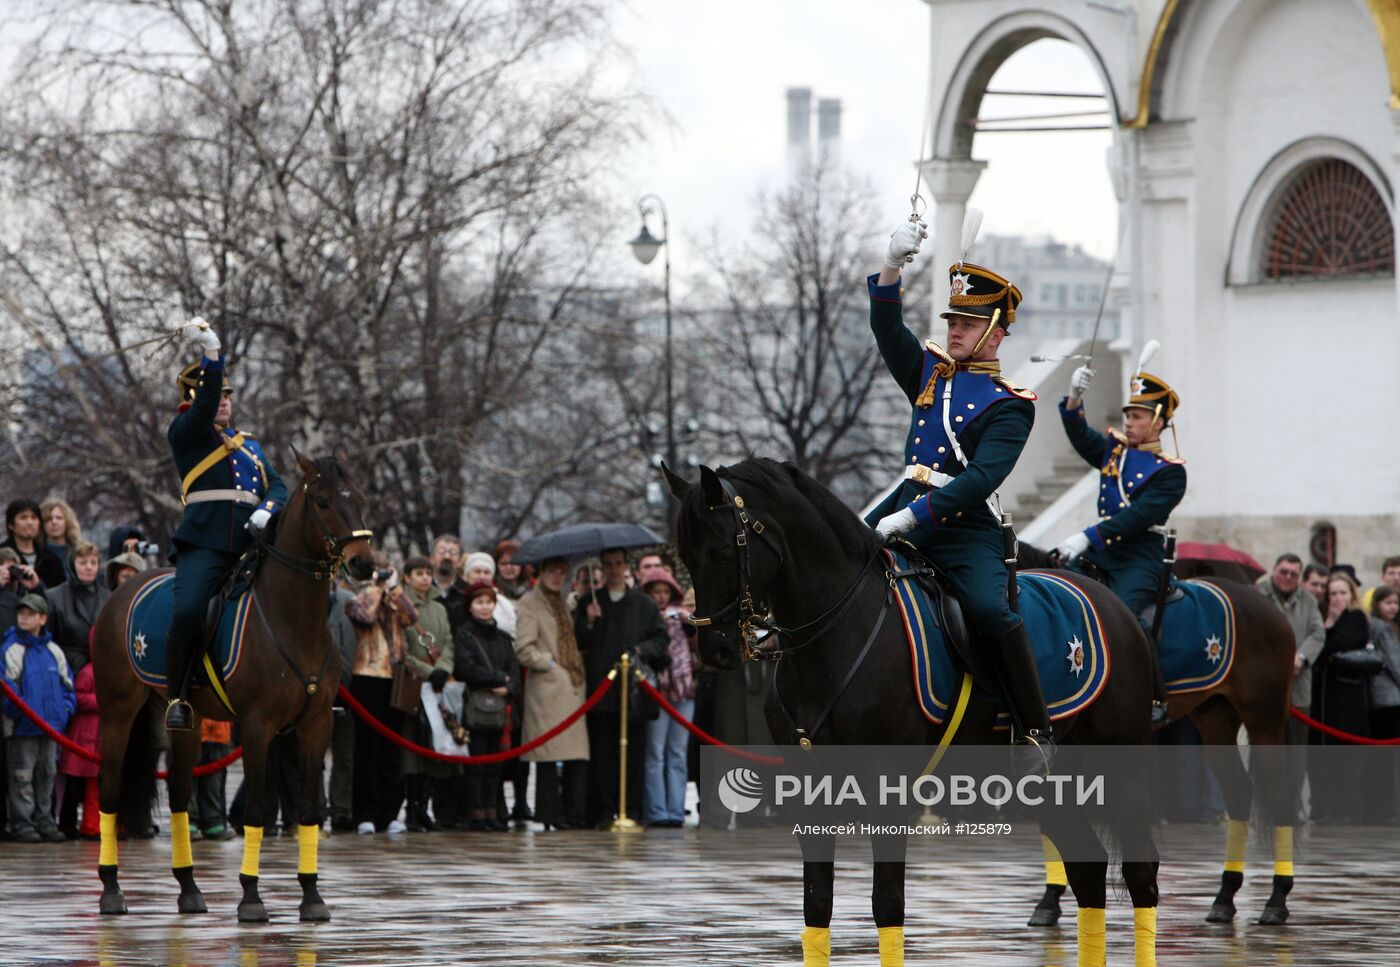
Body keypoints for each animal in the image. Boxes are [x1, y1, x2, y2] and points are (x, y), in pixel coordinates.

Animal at [89, 453, 375, 923]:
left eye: (362, 499)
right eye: (323, 501)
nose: (365, 564)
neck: (292, 618)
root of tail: (120, 591)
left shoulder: (316, 724)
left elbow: (310, 808)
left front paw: (311, 896)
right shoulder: (258, 727)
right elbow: (257, 808)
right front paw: (251, 896)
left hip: (184, 720)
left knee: (179, 796)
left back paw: (189, 888)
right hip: (117, 712)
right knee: (110, 791)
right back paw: (112, 889)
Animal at [666, 461, 1159, 967]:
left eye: (722, 551)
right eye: (683, 555)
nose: (715, 650)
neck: (838, 632)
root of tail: (1115, 604)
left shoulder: (888, 788)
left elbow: (887, 904)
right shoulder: (807, 790)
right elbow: (816, 905)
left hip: (1121, 767)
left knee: (1140, 871)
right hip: (1052, 785)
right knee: (1087, 869)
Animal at [1019, 545, 1299, 929]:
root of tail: (1269, 606)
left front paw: (1052, 898)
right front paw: (1050, 900)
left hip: (1264, 719)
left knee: (1280, 795)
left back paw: (1276, 900)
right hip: (1215, 717)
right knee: (1239, 792)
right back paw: (1225, 897)